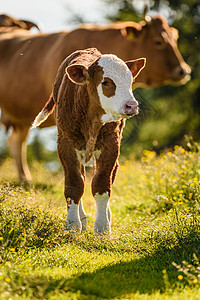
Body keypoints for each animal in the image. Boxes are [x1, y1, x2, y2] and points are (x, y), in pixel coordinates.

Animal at [32, 48, 145, 233]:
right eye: (105, 82)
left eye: (130, 81)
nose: (132, 106)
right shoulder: (66, 144)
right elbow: (74, 184)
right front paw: (72, 226)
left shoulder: (111, 145)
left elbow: (101, 184)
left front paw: (102, 227)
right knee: (81, 177)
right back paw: (82, 218)